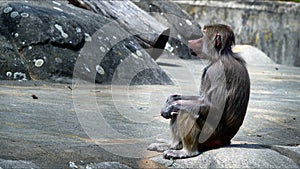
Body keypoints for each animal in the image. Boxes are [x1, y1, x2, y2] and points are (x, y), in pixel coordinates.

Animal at [148, 24, 251, 160]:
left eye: (202, 35)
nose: (191, 41)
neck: (220, 55)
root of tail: (225, 141)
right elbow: (201, 98)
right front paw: (171, 100)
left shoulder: (216, 72)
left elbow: (212, 106)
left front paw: (171, 105)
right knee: (180, 112)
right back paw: (173, 145)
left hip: (209, 136)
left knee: (186, 112)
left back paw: (187, 152)